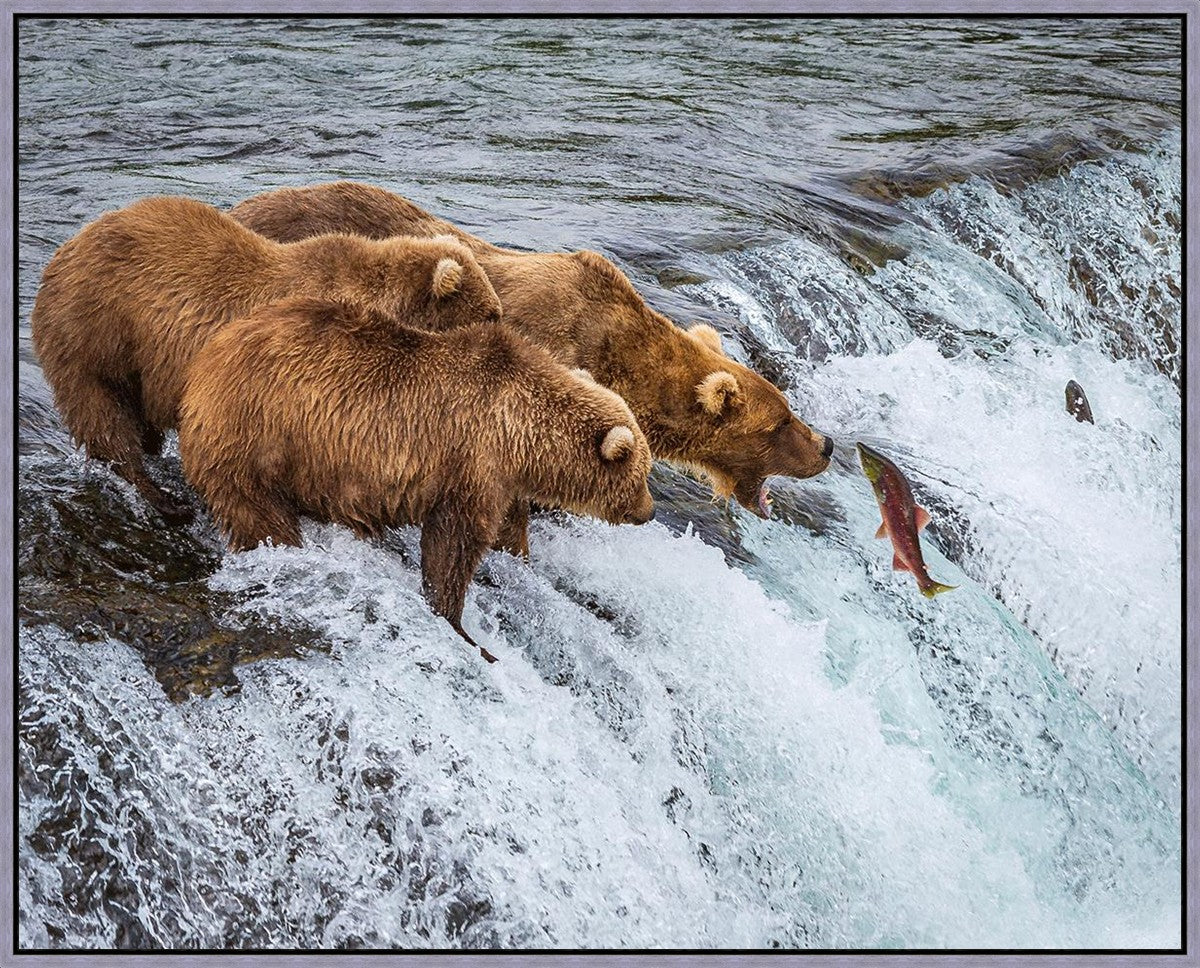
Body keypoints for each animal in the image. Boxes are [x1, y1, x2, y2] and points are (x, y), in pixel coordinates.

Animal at [30, 195, 503, 523]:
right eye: (492, 313)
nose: (504, 330)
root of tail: (64, 250)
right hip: (95, 332)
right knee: (103, 417)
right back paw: (163, 498)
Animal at [177, 296, 656, 661]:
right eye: (642, 474)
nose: (649, 512)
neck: (520, 432)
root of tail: (204, 363)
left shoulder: (501, 480)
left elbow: (506, 531)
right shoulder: (471, 462)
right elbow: (453, 545)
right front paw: (462, 627)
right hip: (256, 436)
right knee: (259, 514)